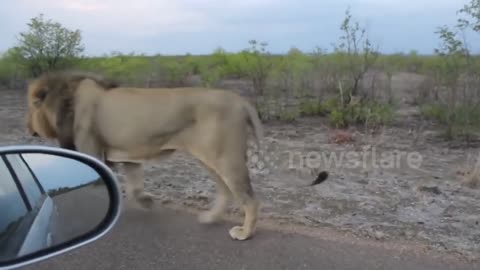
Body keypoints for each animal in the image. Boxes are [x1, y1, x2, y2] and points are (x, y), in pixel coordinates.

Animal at [25, 70, 266, 240]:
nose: (27, 127)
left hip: (225, 158)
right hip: (209, 159)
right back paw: (209, 218)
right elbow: (134, 187)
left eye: (31, 107)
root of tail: (240, 100)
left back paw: (245, 233)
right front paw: (147, 202)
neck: (67, 100)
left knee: (250, 198)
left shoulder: (90, 150)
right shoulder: (126, 154)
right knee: (226, 191)